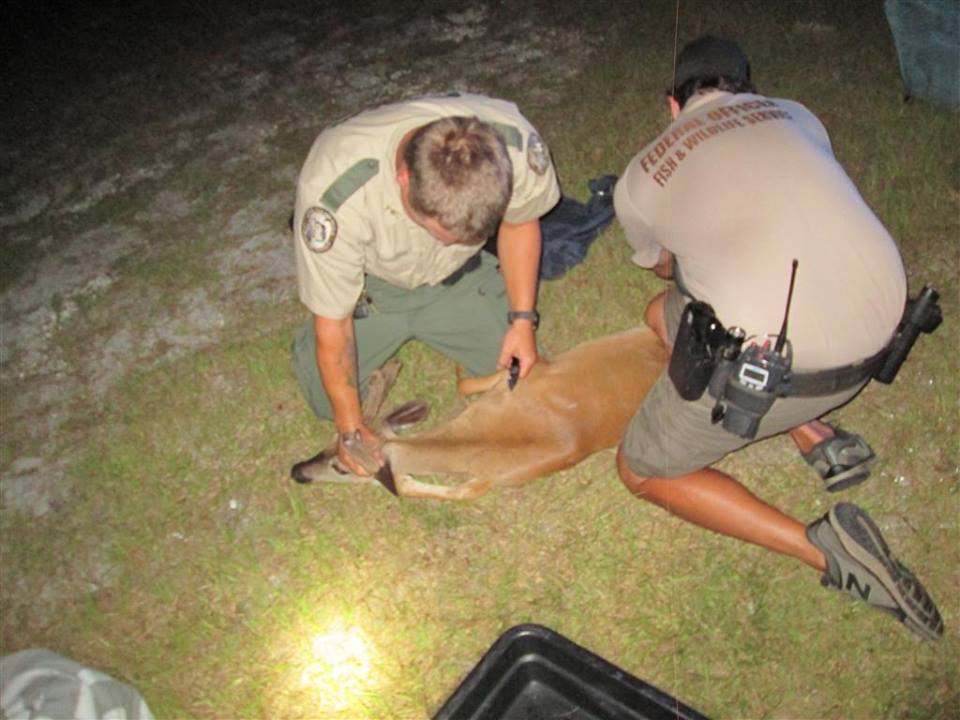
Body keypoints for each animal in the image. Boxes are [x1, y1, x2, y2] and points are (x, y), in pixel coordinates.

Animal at [292, 326, 668, 500]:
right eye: (330, 440)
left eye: (341, 469)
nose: (297, 471)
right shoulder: (518, 378)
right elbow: (467, 385)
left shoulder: (491, 480)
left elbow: (455, 493)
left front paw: (404, 481)